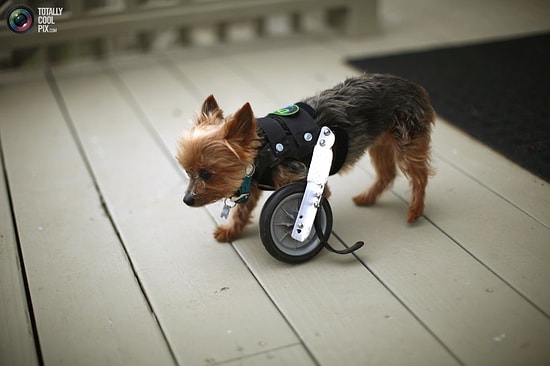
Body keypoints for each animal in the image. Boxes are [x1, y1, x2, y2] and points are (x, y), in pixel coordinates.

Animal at [177, 72, 436, 242]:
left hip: (407, 140)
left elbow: (306, 210)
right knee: (387, 174)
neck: (264, 148)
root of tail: (413, 85)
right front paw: (231, 231)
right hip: (380, 143)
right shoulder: (254, 183)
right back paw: (367, 198)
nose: (187, 200)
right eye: (188, 172)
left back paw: (415, 211)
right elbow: (242, 210)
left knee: (419, 175)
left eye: (207, 174)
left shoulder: (302, 180)